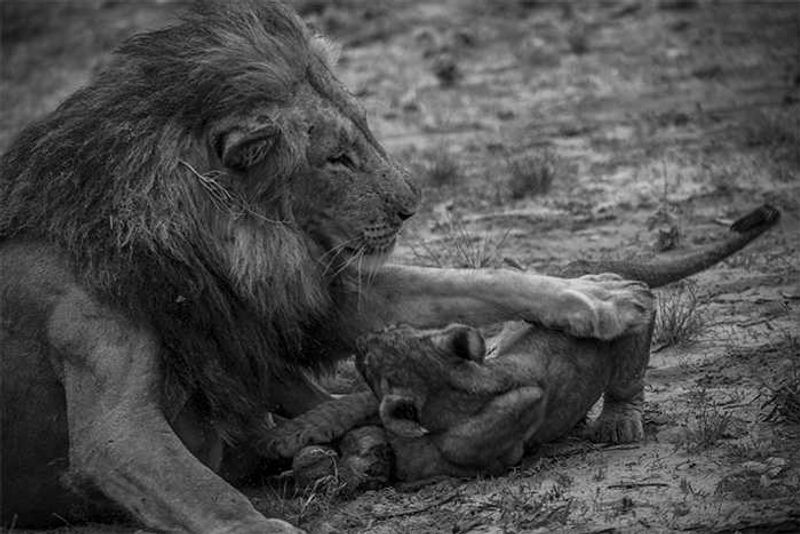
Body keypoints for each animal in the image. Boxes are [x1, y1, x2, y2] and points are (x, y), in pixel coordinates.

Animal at [0, 1, 652, 532]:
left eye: (364, 128)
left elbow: (473, 281)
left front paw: (599, 297)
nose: (412, 205)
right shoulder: (113, 420)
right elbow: (211, 499)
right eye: (336, 158)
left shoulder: (291, 305)